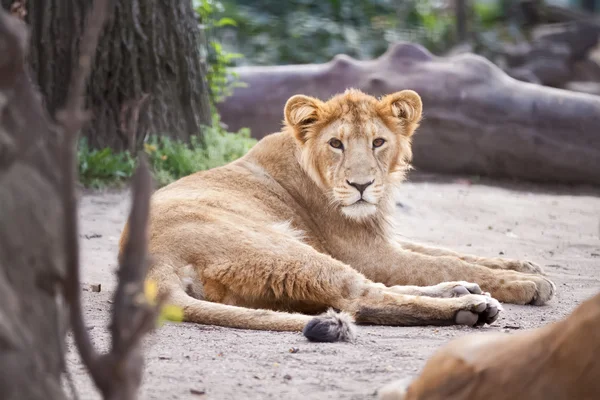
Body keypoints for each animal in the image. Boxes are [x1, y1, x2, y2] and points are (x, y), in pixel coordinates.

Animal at [119, 89, 556, 342]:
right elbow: (442, 259)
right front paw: (528, 283)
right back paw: (470, 307)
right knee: (362, 298)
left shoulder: (380, 238)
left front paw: (523, 265)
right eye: (336, 144)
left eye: (378, 142)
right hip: (286, 248)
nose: (361, 185)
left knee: (359, 296)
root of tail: (149, 270)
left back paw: (460, 292)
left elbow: (447, 252)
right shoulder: (368, 251)